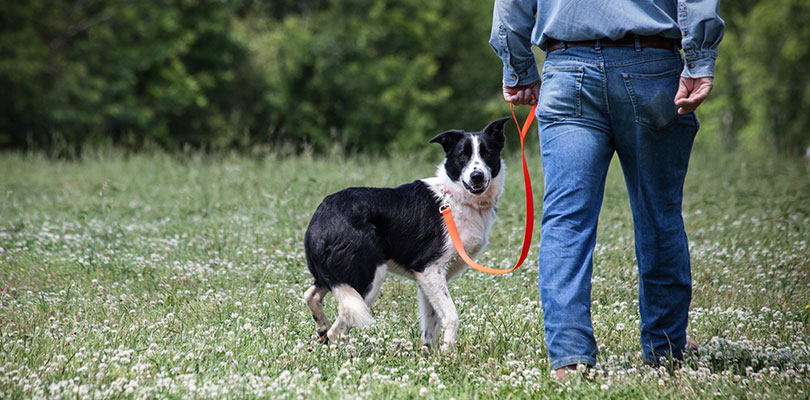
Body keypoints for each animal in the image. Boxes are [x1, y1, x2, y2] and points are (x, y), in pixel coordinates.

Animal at [300, 117, 508, 352]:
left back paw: (322, 327)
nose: (477, 177)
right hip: (368, 278)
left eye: (488, 154)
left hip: (336, 276)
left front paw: (431, 355)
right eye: (462, 156)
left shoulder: (427, 279)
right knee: (338, 329)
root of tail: (322, 217)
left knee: (311, 296)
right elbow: (451, 316)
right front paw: (448, 353)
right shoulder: (430, 269)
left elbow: (431, 323)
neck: (456, 197)